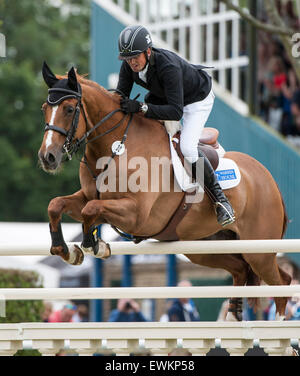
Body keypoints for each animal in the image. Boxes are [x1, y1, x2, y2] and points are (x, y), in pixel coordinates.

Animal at [37, 63, 290, 322]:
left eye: (69, 109)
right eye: (45, 108)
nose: (47, 157)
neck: (116, 147)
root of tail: (270, 180)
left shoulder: (137, 215)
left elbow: (91, 210)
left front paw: (94, 245)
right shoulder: (89, 197)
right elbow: (57, 205)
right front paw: (67, 250)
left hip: (259, 250)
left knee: (282, 283)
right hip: (206, 246)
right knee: (241, 270)